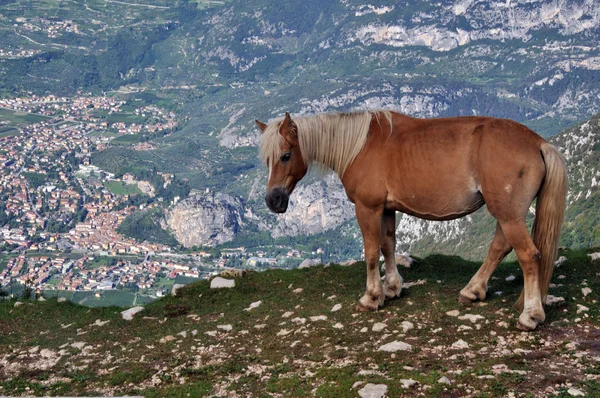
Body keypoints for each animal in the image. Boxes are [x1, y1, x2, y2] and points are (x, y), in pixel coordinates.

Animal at [255, 110, 564, 332]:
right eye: (267, 160)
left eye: (286, 155)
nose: (273, 200)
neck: (360, 146)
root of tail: (538, 143)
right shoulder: (387, 209)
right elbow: (388, 246)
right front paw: (392, 288)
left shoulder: (368, 209)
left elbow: (371, 252)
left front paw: (371, 297)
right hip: (506, 214)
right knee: (499, 248)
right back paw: (473, 291)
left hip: (509, 215)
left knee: (529, 256)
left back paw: (530, 315)